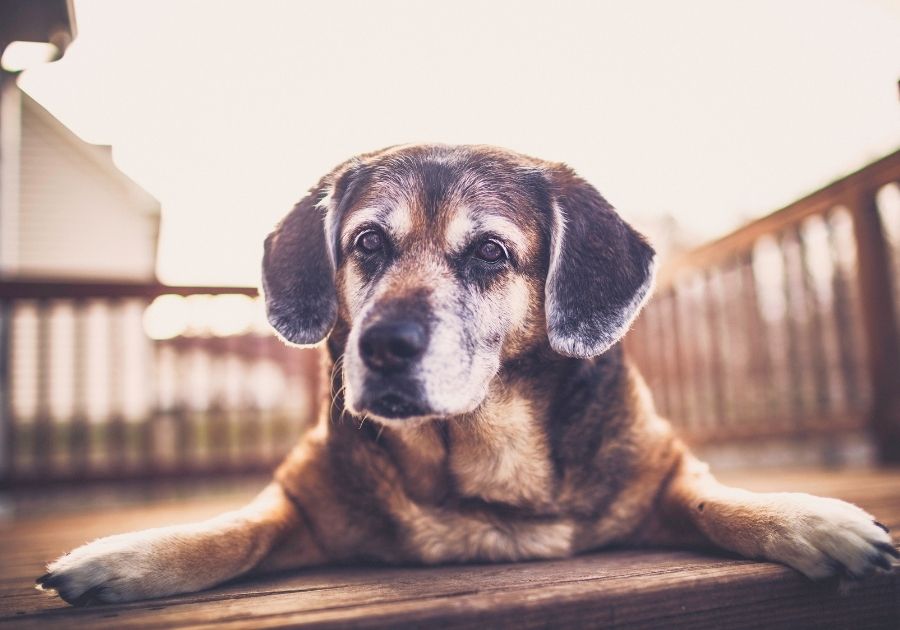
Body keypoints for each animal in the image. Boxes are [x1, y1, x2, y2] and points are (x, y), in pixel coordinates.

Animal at [37, 143, 900, 608]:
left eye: (490, 251)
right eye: (367, 244)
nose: (383, 346)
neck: (481, 465)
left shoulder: (664, 473)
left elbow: (717, 499)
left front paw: (815, 521)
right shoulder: (303, 503)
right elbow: (233, 531)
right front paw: (119, 560)